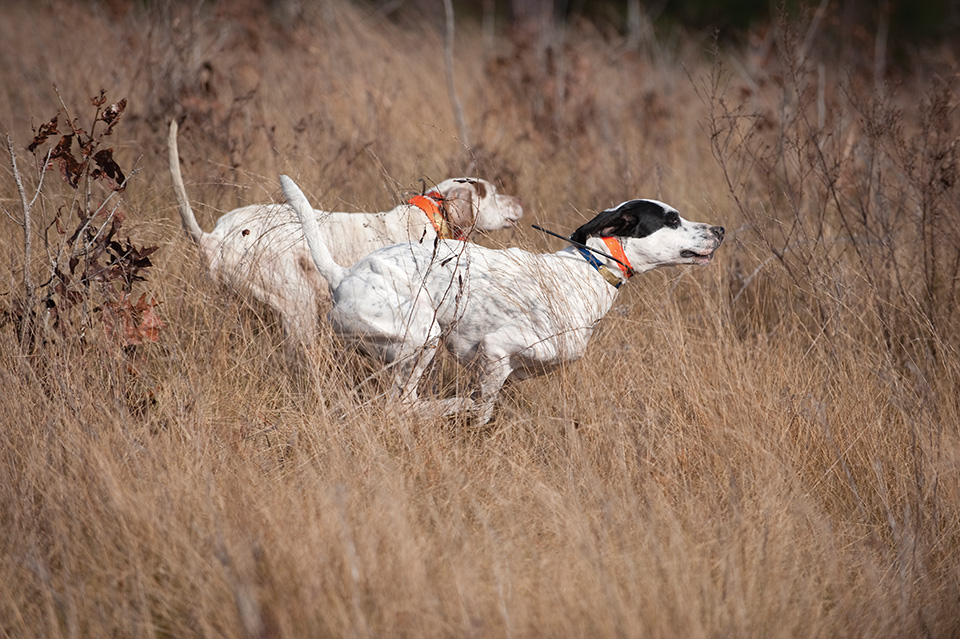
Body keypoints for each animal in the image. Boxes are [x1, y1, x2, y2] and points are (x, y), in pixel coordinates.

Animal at [282, 175, 724, 424]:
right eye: (672, 220)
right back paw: (451, 406)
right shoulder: (496, 351)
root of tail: (343, 275)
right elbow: (484, 410)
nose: (719, 229)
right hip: (422, 337)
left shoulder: (510, 367)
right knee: (402, 405)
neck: (587, 271)